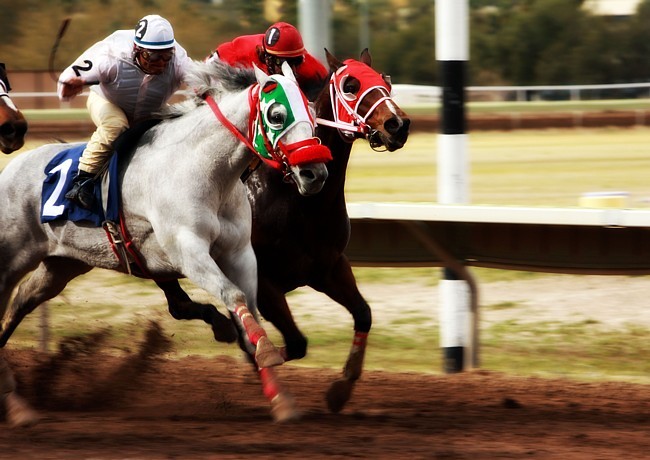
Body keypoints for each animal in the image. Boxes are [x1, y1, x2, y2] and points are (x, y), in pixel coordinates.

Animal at [0, 59, 326, 426]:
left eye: (312, 111)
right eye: (276, 115)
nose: (315, 173)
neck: (205, 171)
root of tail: (12, 167)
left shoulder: (239, 252)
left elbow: (249, 308)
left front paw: (280, 397)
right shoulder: (188, 250)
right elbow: (233, 295)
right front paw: (266, 352)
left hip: (62, 264)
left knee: (22, 300)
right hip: (12, 255)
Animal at [157, 50, 408, 414]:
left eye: (386, 82)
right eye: (350, 85)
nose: (397, 125)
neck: (299, 201)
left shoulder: (328, 267)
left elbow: (363, 314)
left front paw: (341, 389)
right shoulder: (264, 281)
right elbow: (292, 342)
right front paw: (256, 370)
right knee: (176, 302)